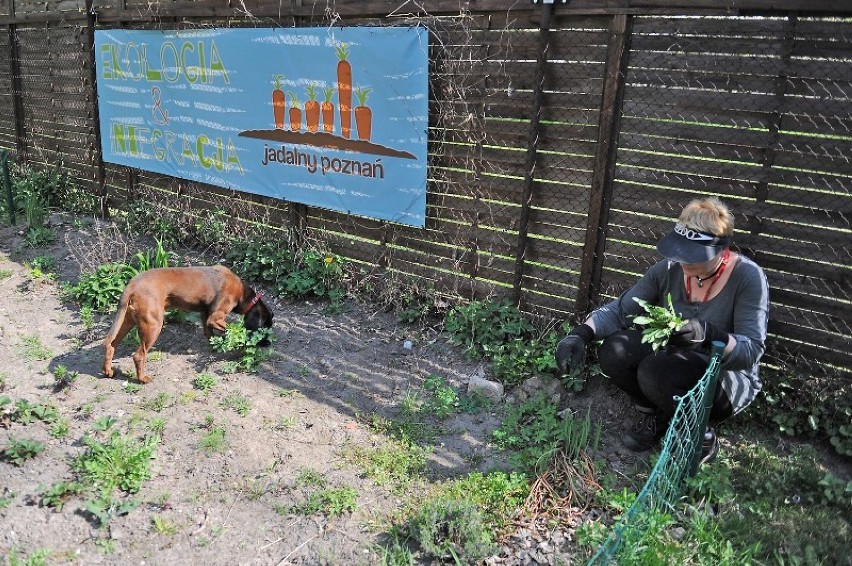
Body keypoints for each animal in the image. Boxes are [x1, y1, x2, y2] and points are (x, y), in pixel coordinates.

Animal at [100, 268, 274, 384]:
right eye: (265, 328)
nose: (268, 343)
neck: (243, 294)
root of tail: (132, 285)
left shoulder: (206, 315)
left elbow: (209, 334)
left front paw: (215, 346)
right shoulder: (215, 317)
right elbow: (235, 331)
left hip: (127, 320)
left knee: (111, 344)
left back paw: (108, 371)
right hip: (153, 326)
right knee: (138, 355)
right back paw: (143, 379)